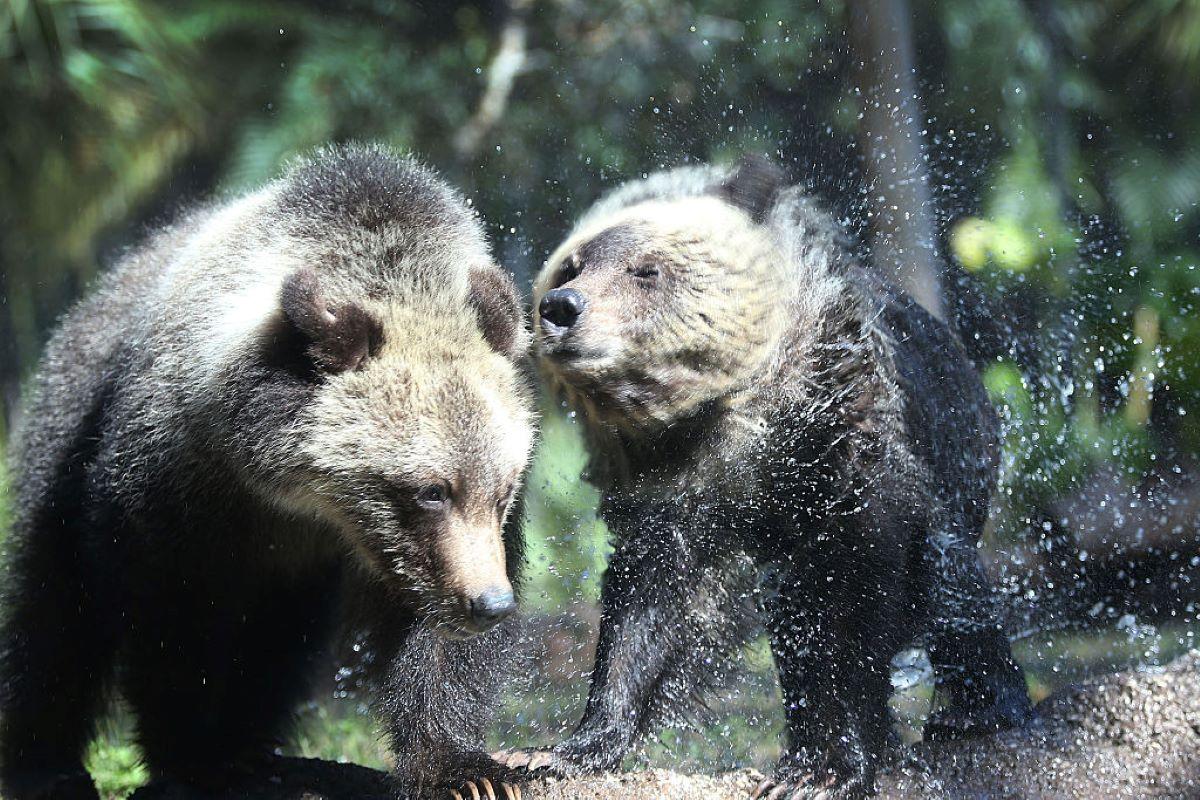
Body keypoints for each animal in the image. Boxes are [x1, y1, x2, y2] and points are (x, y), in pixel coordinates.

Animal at [0, 145, 535, 800]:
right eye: (431, 490)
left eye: (502, 490)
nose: (490, 603)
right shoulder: (175, 478)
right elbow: (168, 613)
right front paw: (192, 755)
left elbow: (428, 639)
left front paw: (464, 767)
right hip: (68, 424)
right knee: (54, 607)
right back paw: (47, 763)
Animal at [496, 158, 1032, 800]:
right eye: (572, 264)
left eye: (647, 270)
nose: (561, 307)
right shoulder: (671, 487)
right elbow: (651, 606)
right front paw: (562, 748)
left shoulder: (848, 449)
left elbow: (856, 604)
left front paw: (830, 766)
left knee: (951, 585)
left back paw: (975, 711)